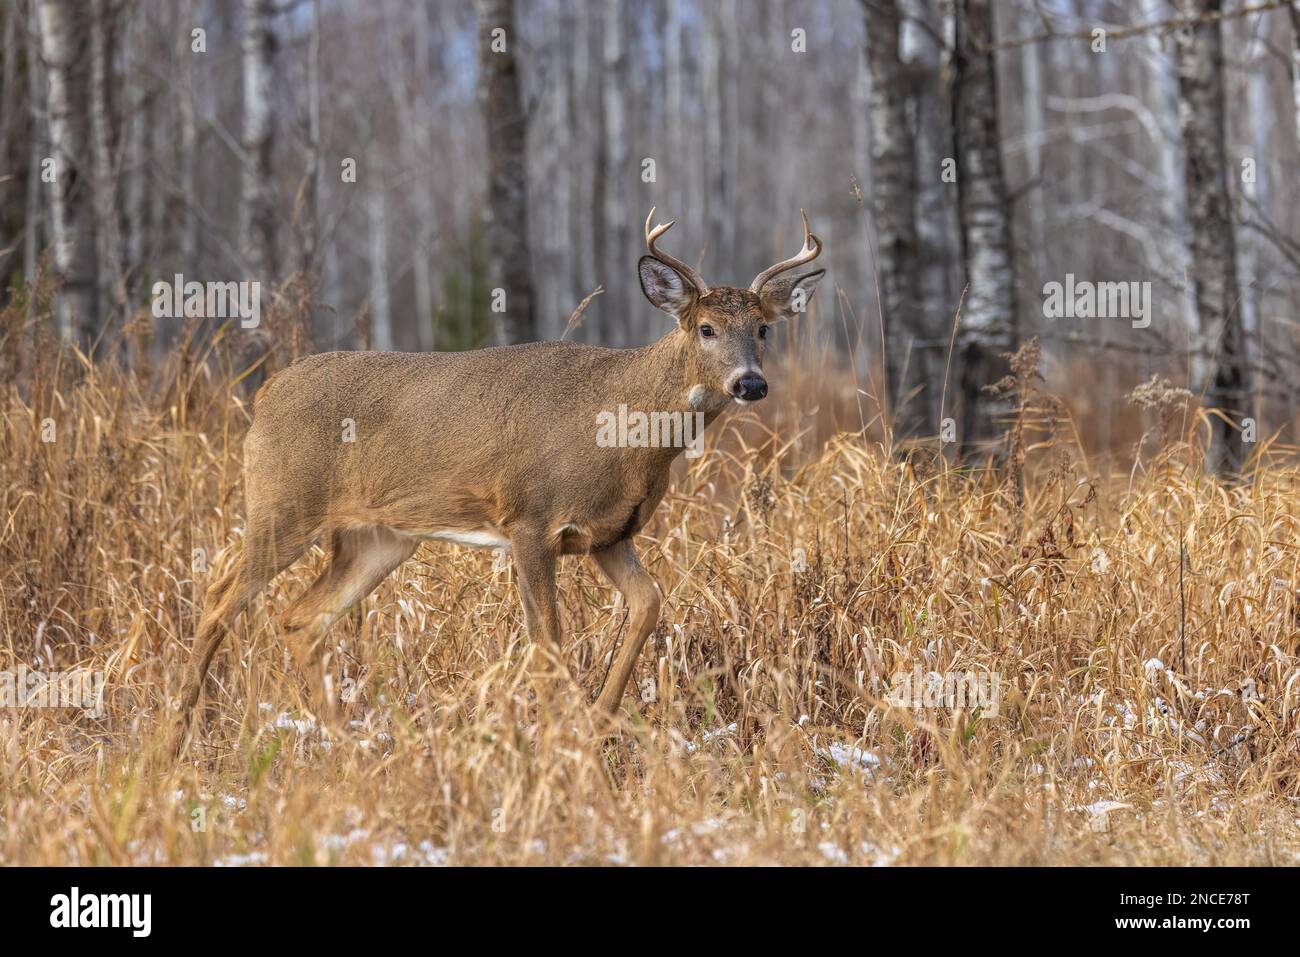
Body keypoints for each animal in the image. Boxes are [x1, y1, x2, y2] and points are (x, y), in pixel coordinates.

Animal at [172, 209, 821, 754]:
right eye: (706, 327)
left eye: (764, 329)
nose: (750, 383)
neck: (625, 431)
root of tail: (264, 394)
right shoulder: (530, 521)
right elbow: (547, 643)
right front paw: (562, 744)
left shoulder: (609, 535)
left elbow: (649, 604)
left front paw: (598, 721)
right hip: (282, 505)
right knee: (219, 596)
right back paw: (175, 735)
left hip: (379, 537)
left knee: (301, 618)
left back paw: (348, 746)